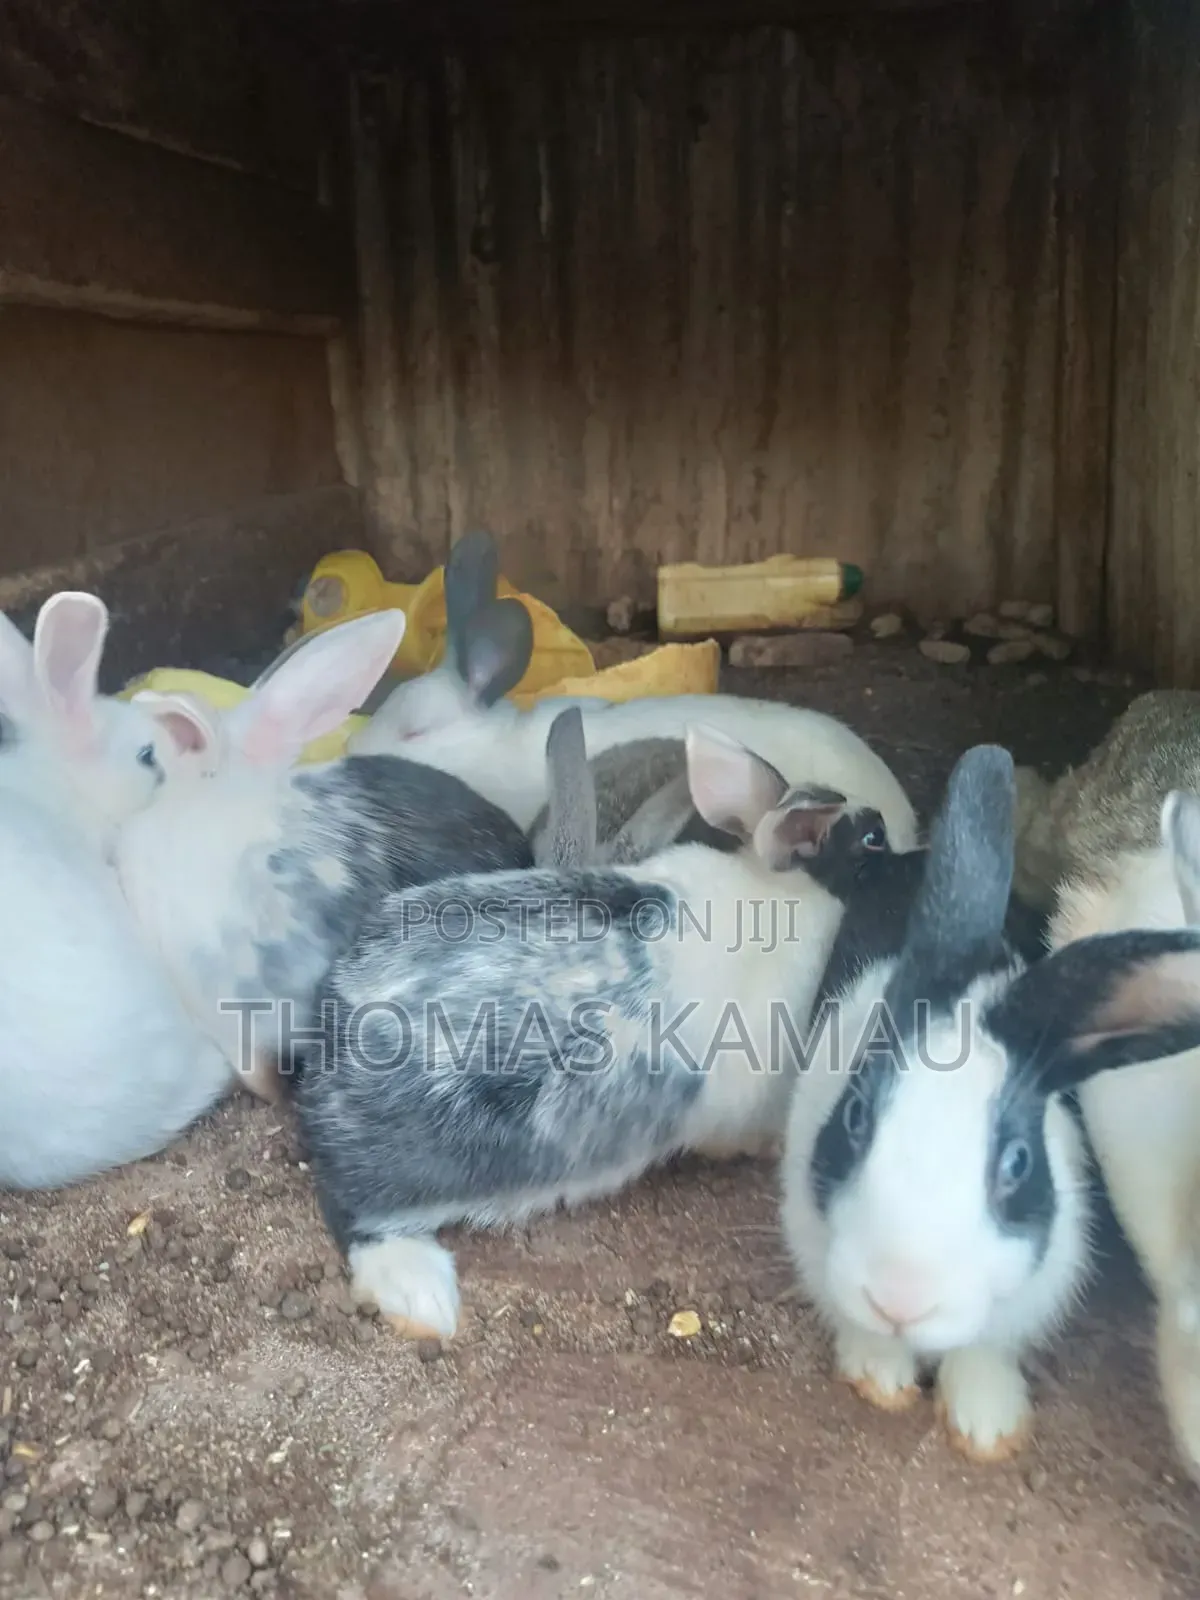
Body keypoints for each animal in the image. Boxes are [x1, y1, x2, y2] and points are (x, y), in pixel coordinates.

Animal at [779, 742, 1200, 1465]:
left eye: (1017, 1163)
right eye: (856, 1117)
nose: (900, 1297)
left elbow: (984, 1351)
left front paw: (987, 1427)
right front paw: (881, 1380)